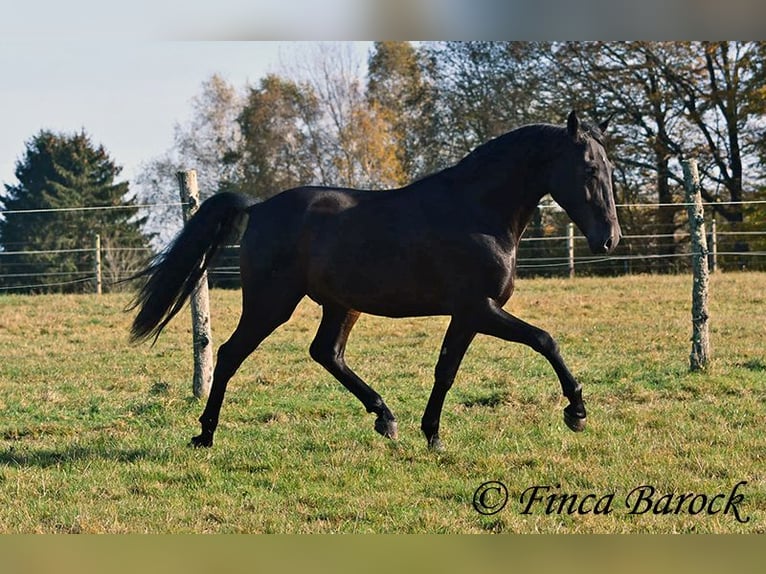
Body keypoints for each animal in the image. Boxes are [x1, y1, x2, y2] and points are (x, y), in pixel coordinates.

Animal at [130, 110, 624, 452]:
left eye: (610, 168)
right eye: (589, 169)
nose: (610, 238)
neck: (478, 212)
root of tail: (259, 207)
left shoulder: (468, 314)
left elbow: (446, 369)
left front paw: (431, 434)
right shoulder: (478, 308)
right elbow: (544, 340)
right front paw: (576, 412)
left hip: (340, 305)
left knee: (326, 353)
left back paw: (385, 418)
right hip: (272, 304)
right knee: (231, 354)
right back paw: (205, 435)